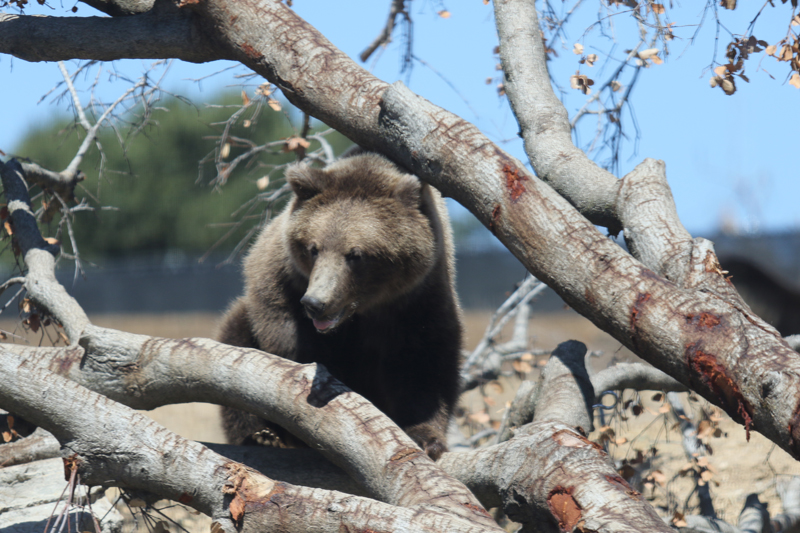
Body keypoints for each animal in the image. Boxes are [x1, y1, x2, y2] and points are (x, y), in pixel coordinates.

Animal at [217, 151, 463, 460]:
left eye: (356, 254)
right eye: (313, 248)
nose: (315, 303)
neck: (363, 313)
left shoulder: (418, 300)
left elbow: (425, 362)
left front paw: (425, 437)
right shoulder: (283, 280)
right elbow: (286, 341)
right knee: (236, 334)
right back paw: (262, 436)